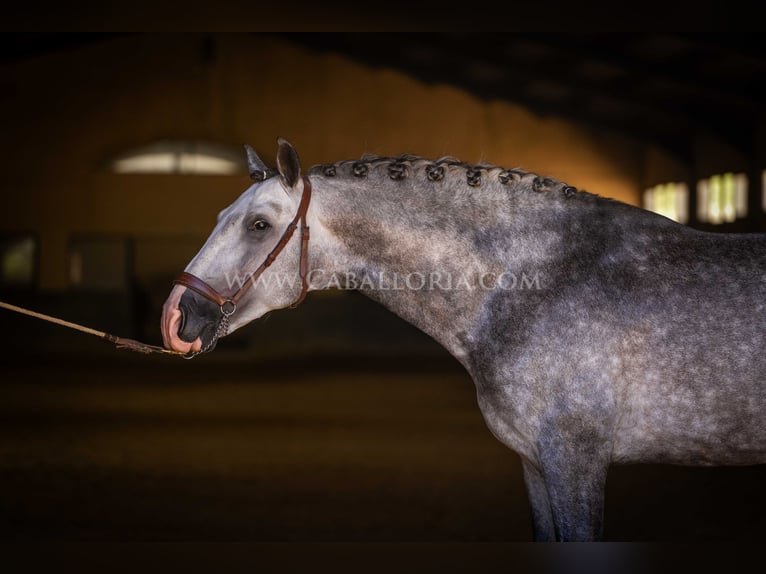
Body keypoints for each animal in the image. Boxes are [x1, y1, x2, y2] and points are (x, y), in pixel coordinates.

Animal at [162, 137, 766, 544]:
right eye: (222, 215)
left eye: (259, 225)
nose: (174, 316)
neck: (537, 282)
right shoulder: (535, 463)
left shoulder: (576, 459)